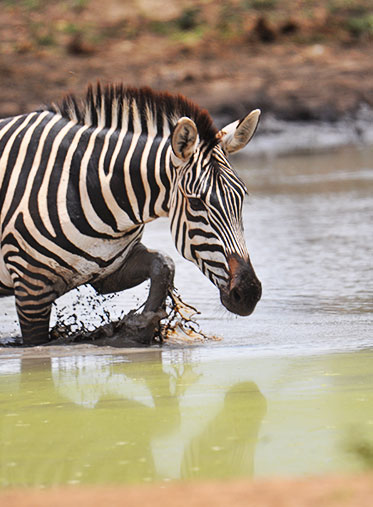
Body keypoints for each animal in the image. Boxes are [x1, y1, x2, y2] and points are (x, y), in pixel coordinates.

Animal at [0, 84, 262, 346]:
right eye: (197, 202)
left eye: (241, 196)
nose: (249, 293)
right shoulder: (31, 291)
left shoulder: (105, 269)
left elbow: (164, 264)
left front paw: (140, 327)